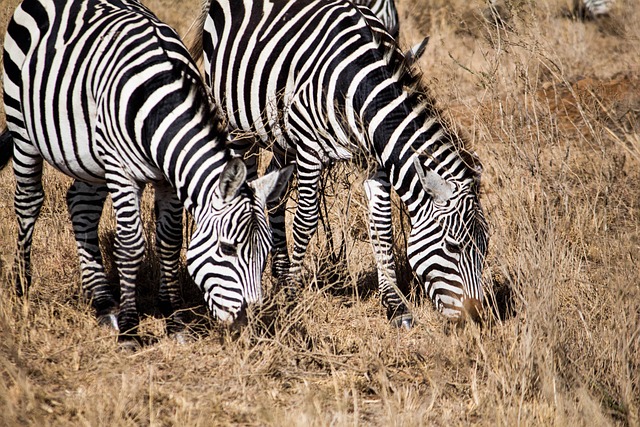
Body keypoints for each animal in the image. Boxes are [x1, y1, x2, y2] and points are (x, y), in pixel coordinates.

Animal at [1, 0, 292, 345]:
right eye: (228, 248)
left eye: (266, 251)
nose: (246, 326)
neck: (161, 109)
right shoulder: (122, 172)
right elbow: (130, 245)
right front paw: (130, 328)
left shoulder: (170, 179)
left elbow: (170, 241)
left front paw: (174, 320)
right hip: (23, 127)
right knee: (28, 200)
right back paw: (22, 288)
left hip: (89, 156)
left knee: (81, 205)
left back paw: (103, 303)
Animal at [190, 0, 489, 327]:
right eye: (453, 246)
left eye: (486, 248)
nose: (476, 316)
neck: (362, 88)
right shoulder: (309, 148)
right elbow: (306, 221)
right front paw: (292, 297)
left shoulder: (375, 160)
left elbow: (381, 225)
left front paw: (395, 305)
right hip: (239, 123)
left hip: (282, 134)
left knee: (275, 193)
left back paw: (279, 273)